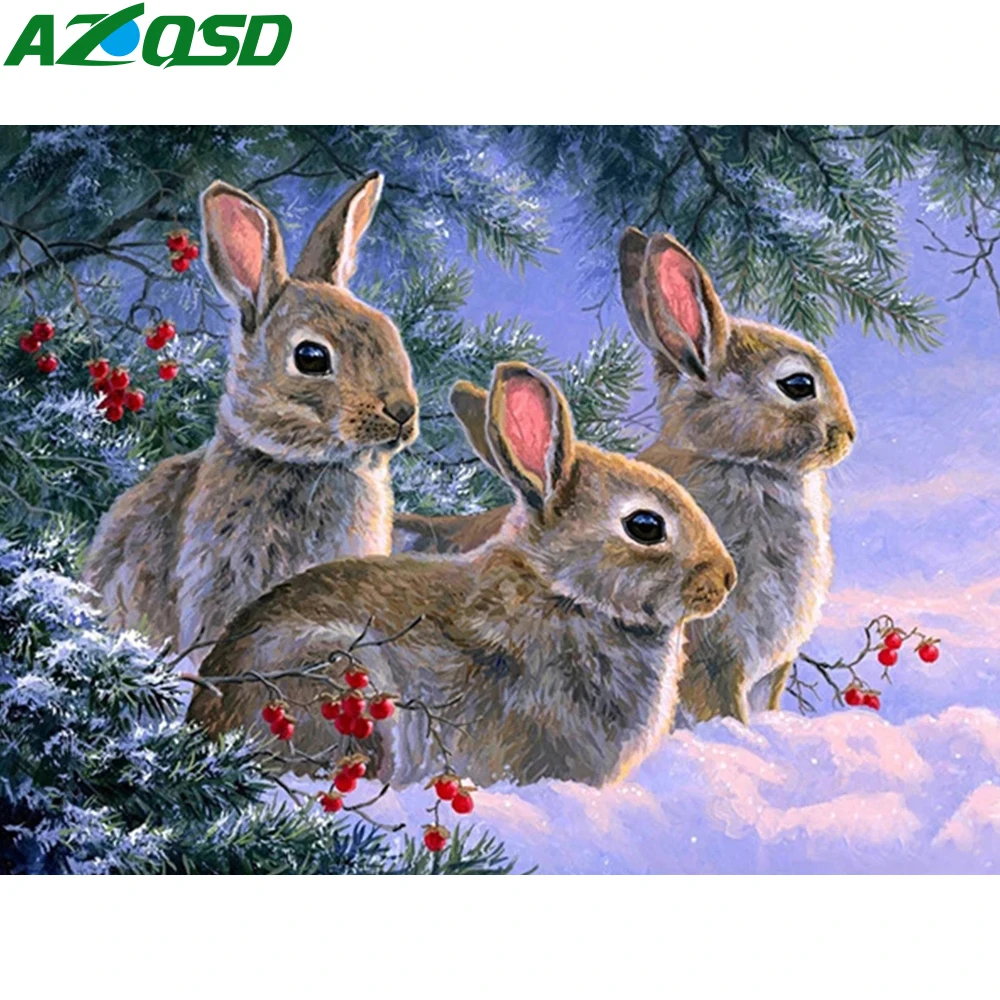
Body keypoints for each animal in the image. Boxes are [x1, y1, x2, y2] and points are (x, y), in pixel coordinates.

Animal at [393, 228, 856, 725]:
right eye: (798, 385)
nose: (849, 434)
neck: (741, 463)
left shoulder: (770, 672)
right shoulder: (715, 663)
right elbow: (724, 710)